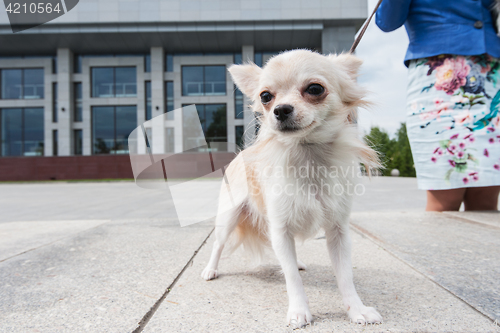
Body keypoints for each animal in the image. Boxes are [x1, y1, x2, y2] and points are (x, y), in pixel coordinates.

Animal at [201, 49, 380, 326]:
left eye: (315, 89)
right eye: (265, 96)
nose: (281, 109)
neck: (307, 155)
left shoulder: (338, 231)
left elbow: (345, 275)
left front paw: (356, 309)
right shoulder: (281, 227)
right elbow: (292, 280)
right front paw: (298, 310)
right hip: (229, 216)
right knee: (219, 244)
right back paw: (211, 268)